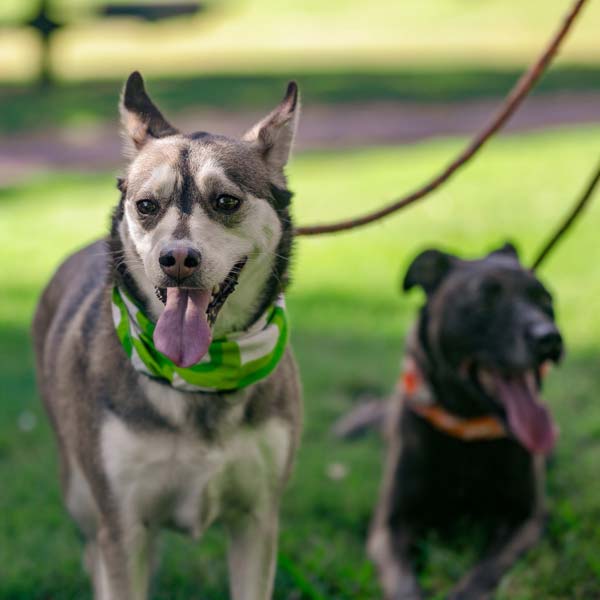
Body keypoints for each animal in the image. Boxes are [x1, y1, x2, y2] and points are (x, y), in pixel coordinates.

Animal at [32, 71, 302, 600]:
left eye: (226, 201)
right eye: (146, 206)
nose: (177, 259)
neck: (200, 377)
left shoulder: (258, 522)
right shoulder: (122, 527)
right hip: (81, 495)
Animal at [366, 245, 564, 600]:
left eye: (545, 300)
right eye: (484, 302)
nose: (549, 339)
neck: (466, 432)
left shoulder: (525, 519)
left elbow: (482, 574)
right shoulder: (389, 526)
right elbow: (403, 583)